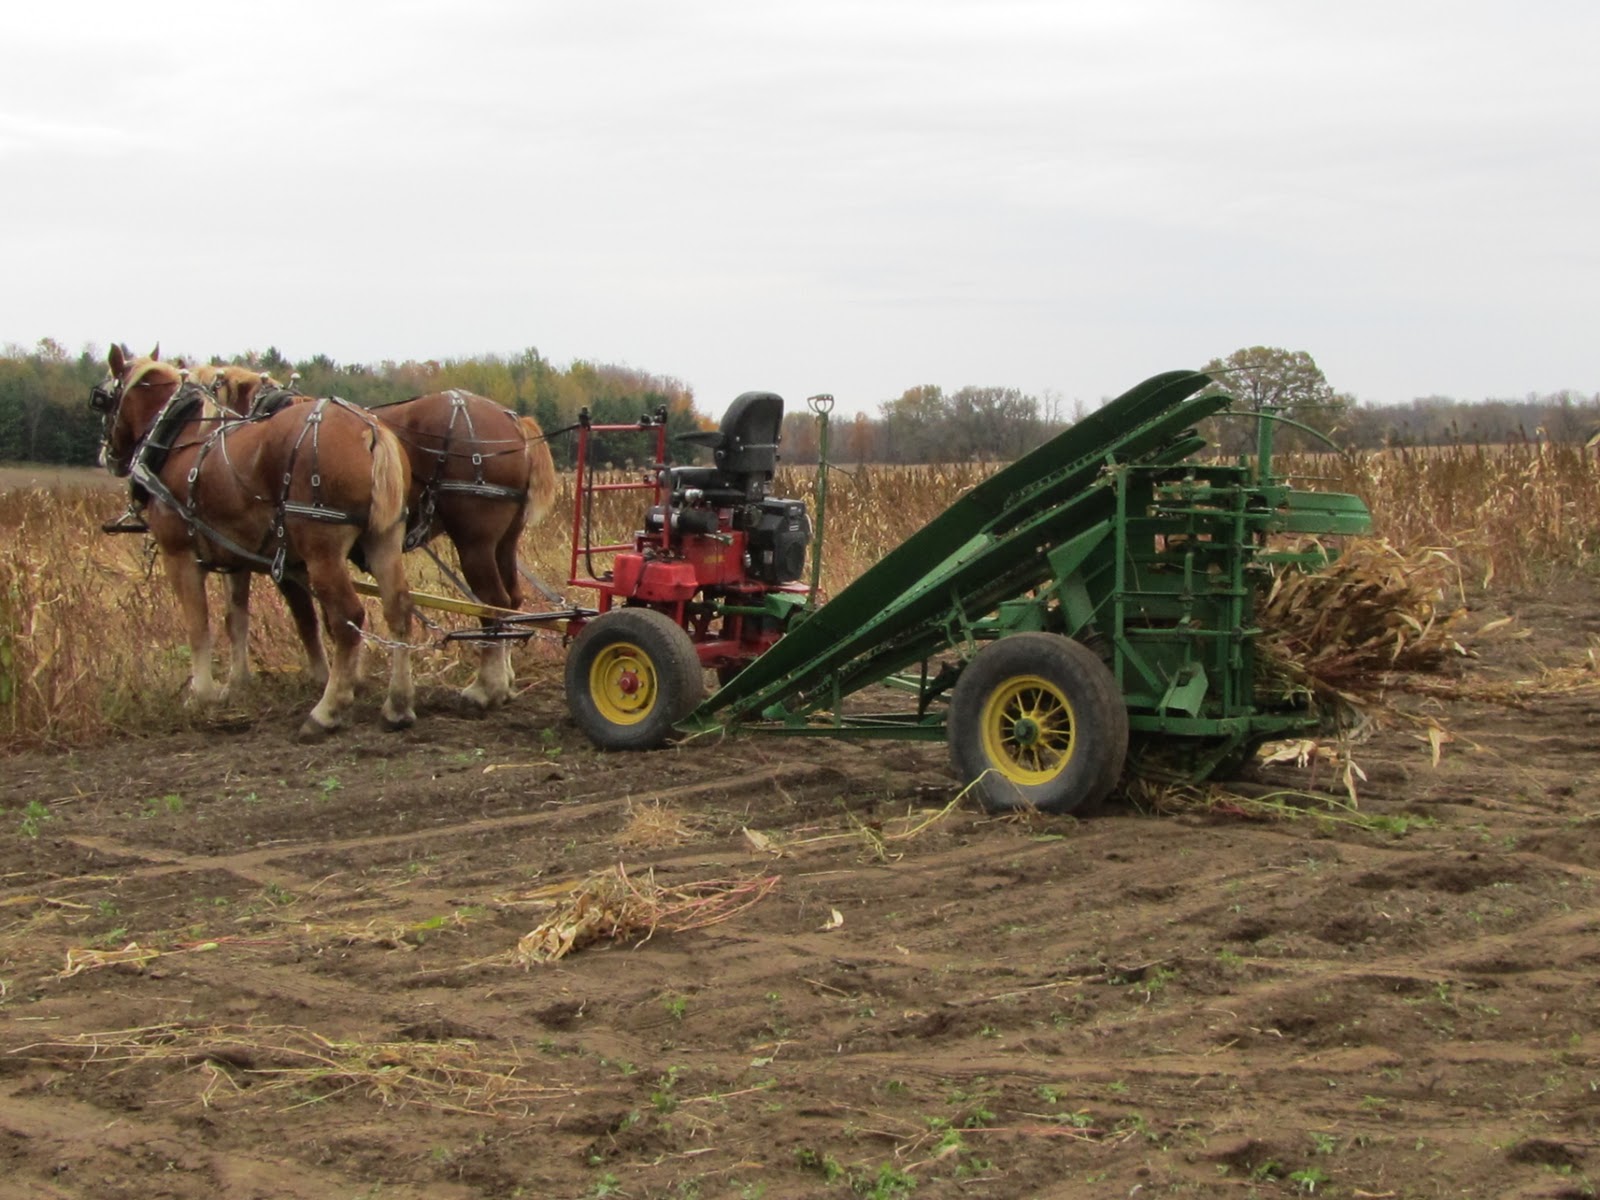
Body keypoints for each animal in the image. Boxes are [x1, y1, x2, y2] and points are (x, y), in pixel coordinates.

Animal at [91, 342, 419, 739]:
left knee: (348, 618)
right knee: (398, 609)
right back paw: (398, 706)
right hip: (383, 539)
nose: (105, 454)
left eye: (101, 399)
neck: (178, 439)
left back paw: (326, 711)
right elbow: (238, 619)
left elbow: (198, 624)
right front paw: (237, 683)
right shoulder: (237, 559)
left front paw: (203, 693)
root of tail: (370, 430)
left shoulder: (179, 554)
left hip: (322, 551)